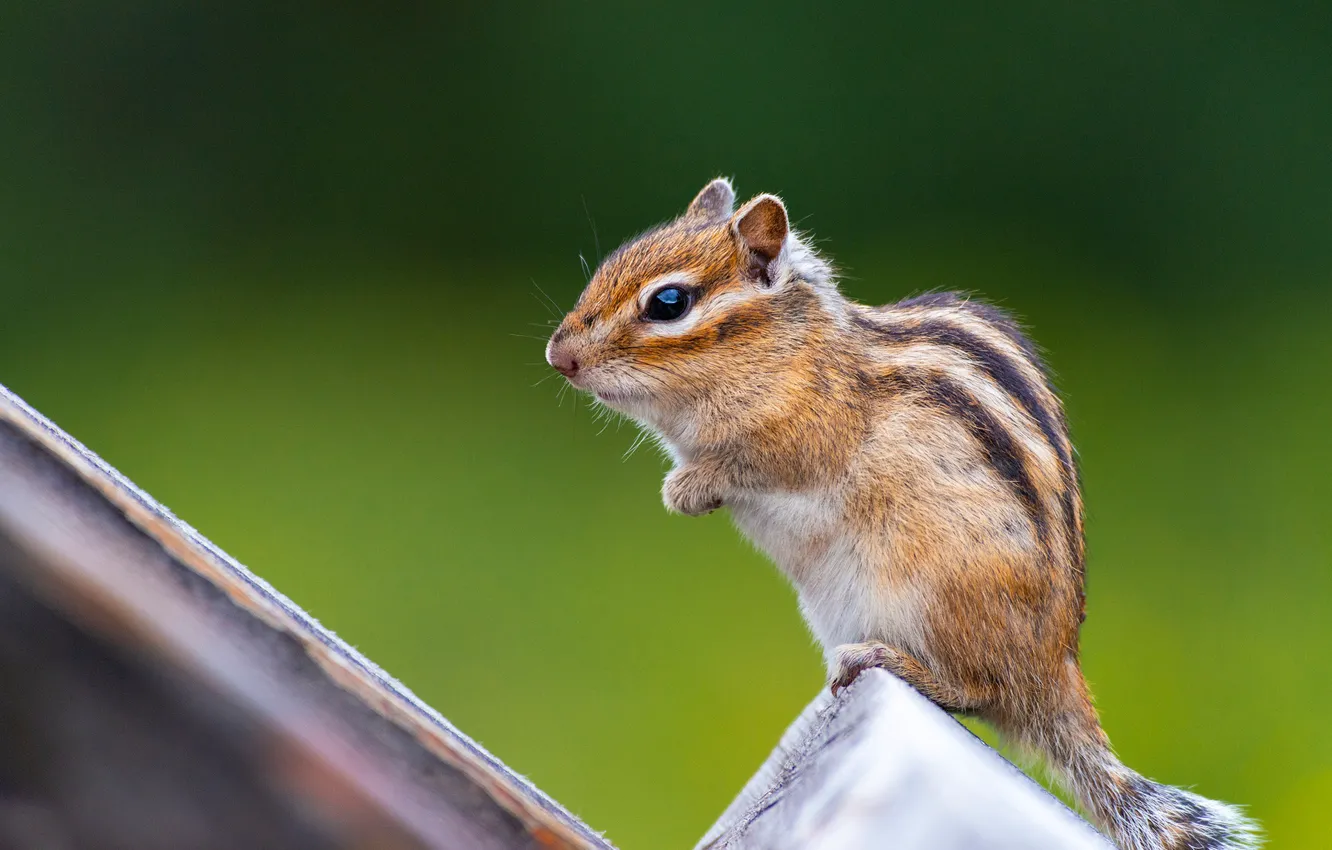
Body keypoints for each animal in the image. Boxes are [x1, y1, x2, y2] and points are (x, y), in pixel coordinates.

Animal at [545, 178, 1259, 850]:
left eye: (669, 303)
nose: (559, 357)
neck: (788, 351)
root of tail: (1055, 670)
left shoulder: (805, 431)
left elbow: (753, 464)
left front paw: (688, 488)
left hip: (934, 593)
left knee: (977, 691)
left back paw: (883, 660)